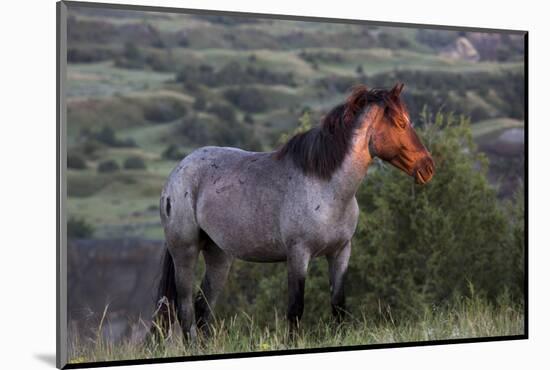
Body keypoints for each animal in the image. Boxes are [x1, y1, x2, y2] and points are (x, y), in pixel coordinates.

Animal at [149, 83, 438, 342]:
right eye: (400, 122)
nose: (428, 167)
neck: (326, 187)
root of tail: (177, 173)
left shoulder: (341, 252)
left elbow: (338, 303)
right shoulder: (299, 254)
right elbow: (296, 308)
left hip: (218, 255)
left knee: (202, 307)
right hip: (185, 252)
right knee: (185, 308)